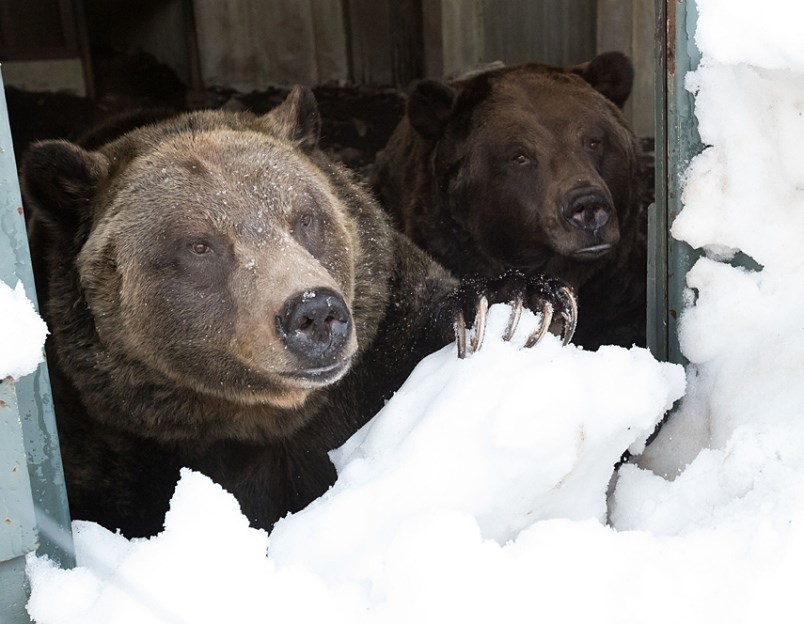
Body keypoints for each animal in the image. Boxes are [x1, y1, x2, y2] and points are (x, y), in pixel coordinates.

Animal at [22, 85, 576, 540]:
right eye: (200, 245)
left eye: (305, 218)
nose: (314, 311)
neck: (260, 420)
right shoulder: (114, 444)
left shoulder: (376, 353)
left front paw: (522, 301)